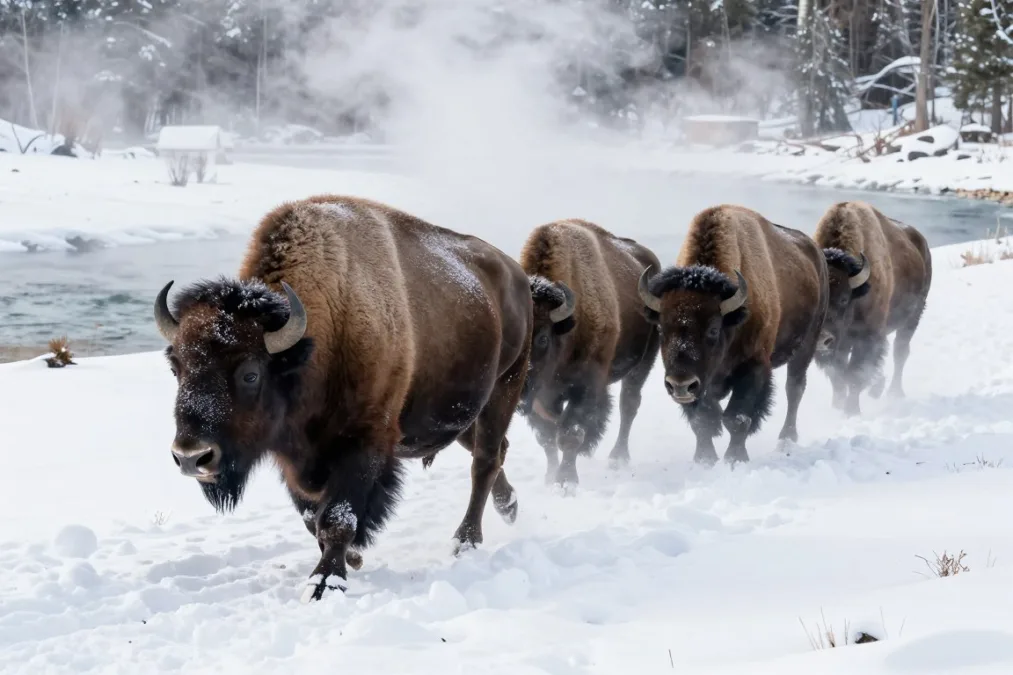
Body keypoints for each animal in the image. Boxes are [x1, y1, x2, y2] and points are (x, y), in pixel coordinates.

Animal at [154, 195, 533, 602]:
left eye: (250, 373)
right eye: (176, 367)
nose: (191, 457)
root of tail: (517, 276)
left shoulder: (365, 443)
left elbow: (339, 517)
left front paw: (324, 582)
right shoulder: (294, 457)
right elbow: (312, 517)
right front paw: (351, 559)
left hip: (504, 388)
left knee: (484, 461)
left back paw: (465, 541)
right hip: (463, 413)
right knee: (494, 452)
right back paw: (510, 507)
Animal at [517, 219, 661, 488]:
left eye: (542, 338)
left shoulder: (585, 387)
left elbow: (571, 432)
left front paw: (566, 482)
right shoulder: (541, 396)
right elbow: (547, 436)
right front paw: (550, 477)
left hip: (643, 362)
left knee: (629, 404)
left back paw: (618, 458)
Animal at [638, 205, 829, 463]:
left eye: (713, 329)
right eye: (660, 328)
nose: (680, 385)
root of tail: (816, 254)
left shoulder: (753, 366)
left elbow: (737, 417)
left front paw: (735, 459)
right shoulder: (703, 383)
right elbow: (703, 420)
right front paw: (705, 459)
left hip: (806, 345)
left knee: (795, 388)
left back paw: (787, 438)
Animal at [813, 201, 932, 414]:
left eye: (844, 299)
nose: (822, 339)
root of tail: (922, 244)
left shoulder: (866, 336)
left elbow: (854, 373)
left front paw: (851, 412)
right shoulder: (839, 346)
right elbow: (838, 376)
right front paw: (837, 406)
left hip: (913, 317)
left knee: (900, 352)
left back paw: (894, 392)